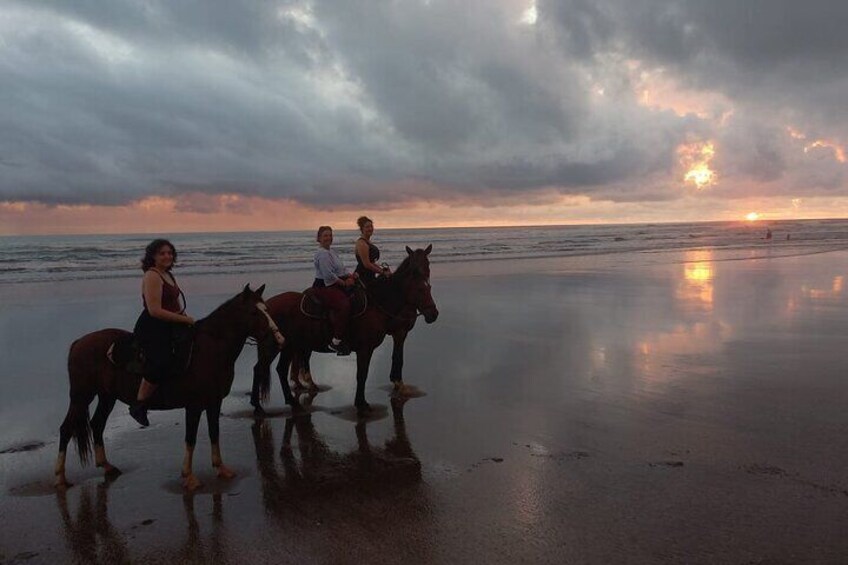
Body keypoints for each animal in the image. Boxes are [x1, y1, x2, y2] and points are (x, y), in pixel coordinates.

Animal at [54, 286, 284, 490]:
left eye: (267, 309)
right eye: (254, 312)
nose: (279, 340)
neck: (209, 349)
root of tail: (79, 343)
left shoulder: (214, 402)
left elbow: (214, 433)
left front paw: (221, 468)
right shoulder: (194, 406)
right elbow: (190, 439)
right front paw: (189, 477)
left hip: (106, 396)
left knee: (97, 424)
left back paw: (107, 466)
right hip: (81, 396)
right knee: (66, 429)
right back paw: (60, 479)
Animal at [250, 243, 438, 414]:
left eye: (429, 286)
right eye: (420, 289)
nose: (433, 314)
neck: (377, 304)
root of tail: (266, 306)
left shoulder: (392, 337)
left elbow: (388, 362)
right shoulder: (369, 347)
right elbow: (363, 374)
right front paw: (362, 403)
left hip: (289, 346)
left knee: (281, 369)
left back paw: (292, 401)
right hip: (274, 345)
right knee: (261, 368)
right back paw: (259, 405)